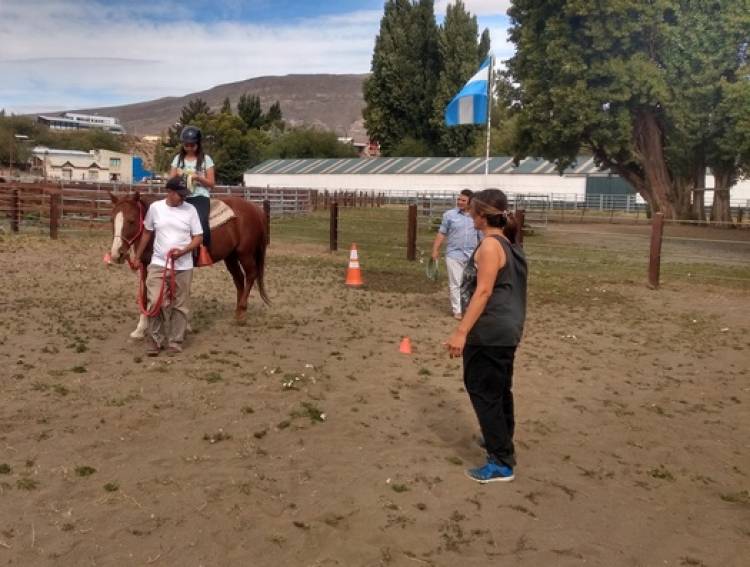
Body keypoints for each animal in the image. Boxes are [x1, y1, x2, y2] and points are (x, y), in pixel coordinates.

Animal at [107, 193, 268, 340]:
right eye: (112, 220)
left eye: (132, 220)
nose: (117, 254)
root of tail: (255, 209)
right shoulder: (146, 266)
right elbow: (145, 295)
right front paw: (140, 330)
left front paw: (182, 326)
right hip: (231, 257)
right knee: (239, 280)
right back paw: (238, 314)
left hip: (245, 254)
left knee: (251, 276)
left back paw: (242, 313)